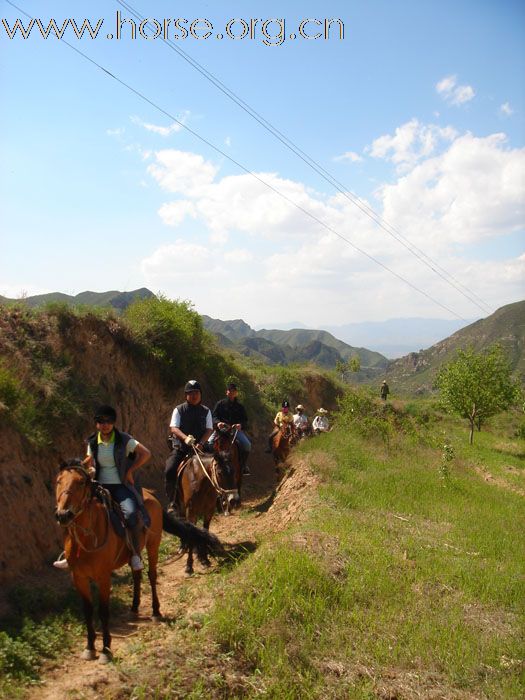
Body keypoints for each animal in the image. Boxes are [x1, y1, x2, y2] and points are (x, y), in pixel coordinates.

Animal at [53, 460, 217, 660]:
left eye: (81, 482)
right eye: (58, 481)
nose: (63, 514)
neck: (86, 538)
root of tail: (150, 495)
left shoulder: (103, 577)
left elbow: (103, 611)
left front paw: (106, 649)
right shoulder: (79, 578)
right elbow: (88, 611)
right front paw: (90, 647)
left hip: (153, 544)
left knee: (152, 575)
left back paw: (155, 611)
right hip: (134, 553)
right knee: (137, 574)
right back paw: (134, 607)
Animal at [178, 448, 239, 576]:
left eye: (234, 471)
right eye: (220, 473)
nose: (234, 500)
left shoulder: (209, 511)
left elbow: (205, 531)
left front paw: (204, 559)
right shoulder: (191, 513)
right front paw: (189, 567)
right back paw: (182, 546)